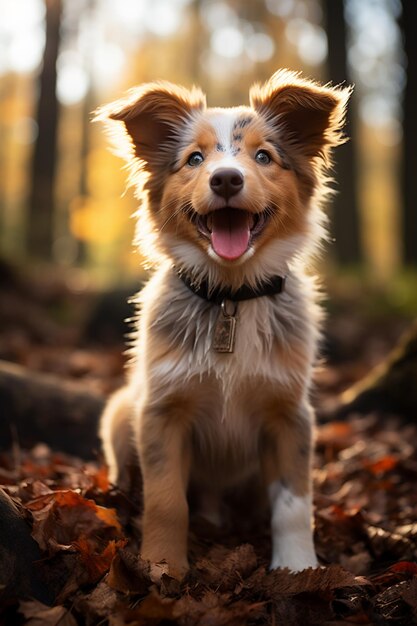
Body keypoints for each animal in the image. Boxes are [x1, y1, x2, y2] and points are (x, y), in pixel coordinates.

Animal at [97, 70, 348, 576]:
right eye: (194, 158)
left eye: (263, 156)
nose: (227, 178)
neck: (232, 296)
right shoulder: (161, 411)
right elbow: (167, 500)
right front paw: (162, 567)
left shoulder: (291, 415)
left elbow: (294, 504)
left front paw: (298, 568)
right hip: (120, 411)